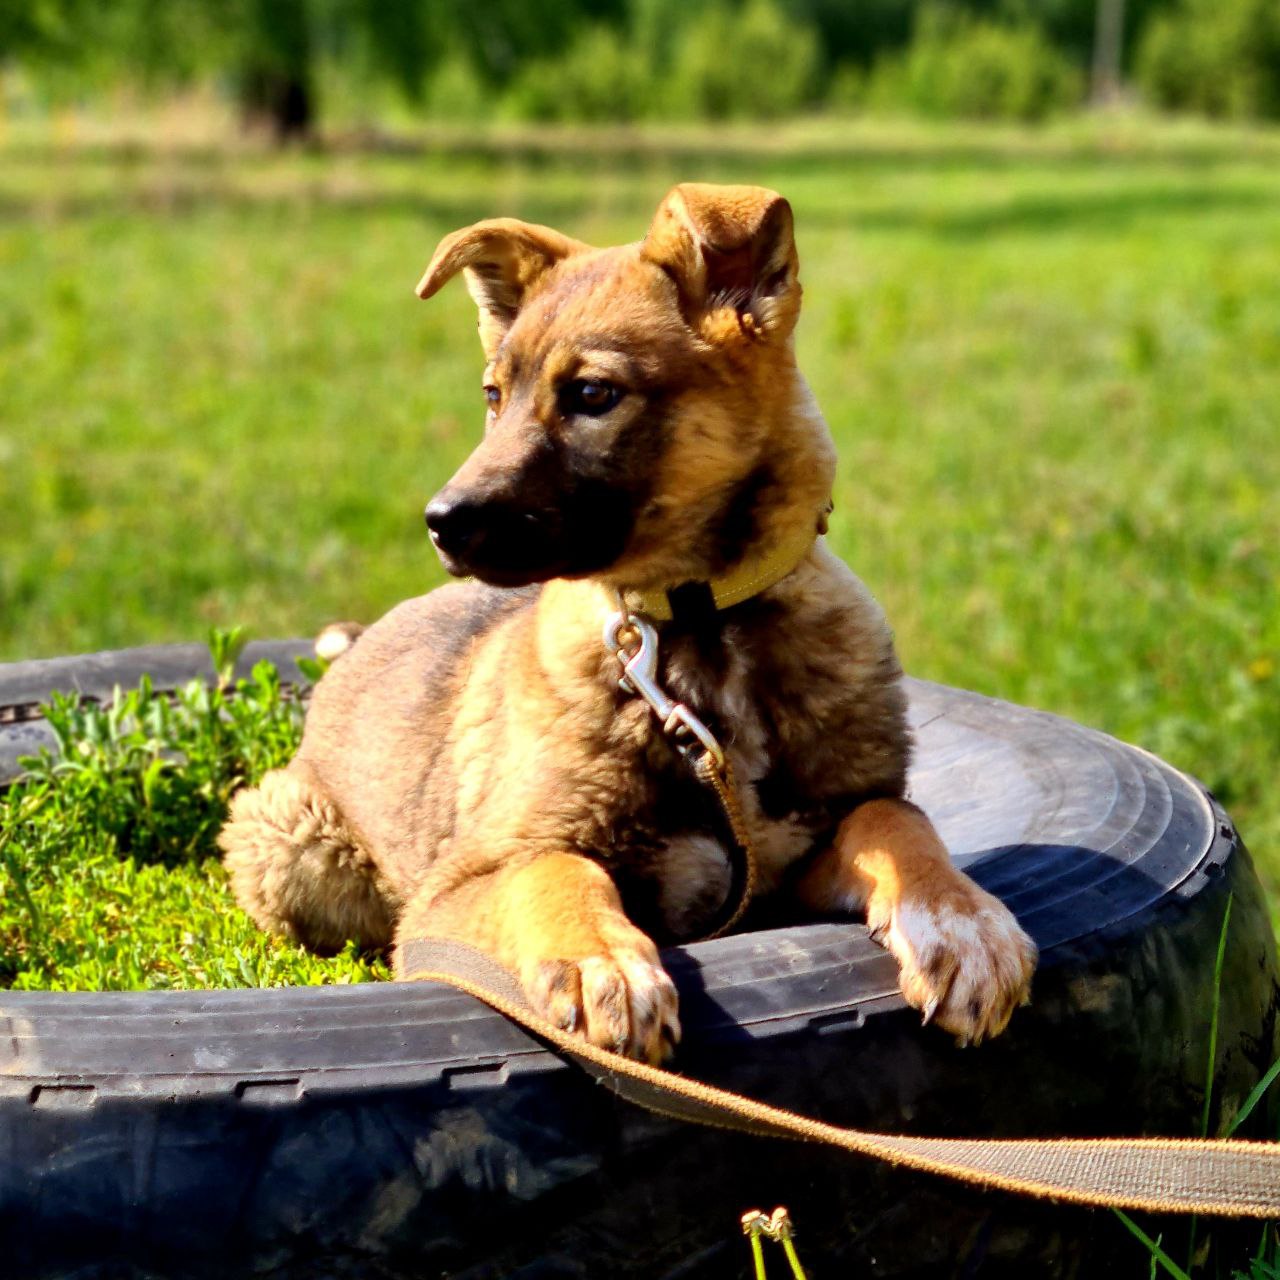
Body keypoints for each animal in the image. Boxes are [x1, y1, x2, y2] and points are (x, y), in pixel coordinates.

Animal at [220, 180, 1039, 1059]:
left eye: (591, 395)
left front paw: (961, 920)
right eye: (493, 397)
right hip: (292, 847)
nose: (440, 522)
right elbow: (556, 867)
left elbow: (893, 817)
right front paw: (599, 961)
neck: (694, 627)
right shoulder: (462, 883)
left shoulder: (786, 867)